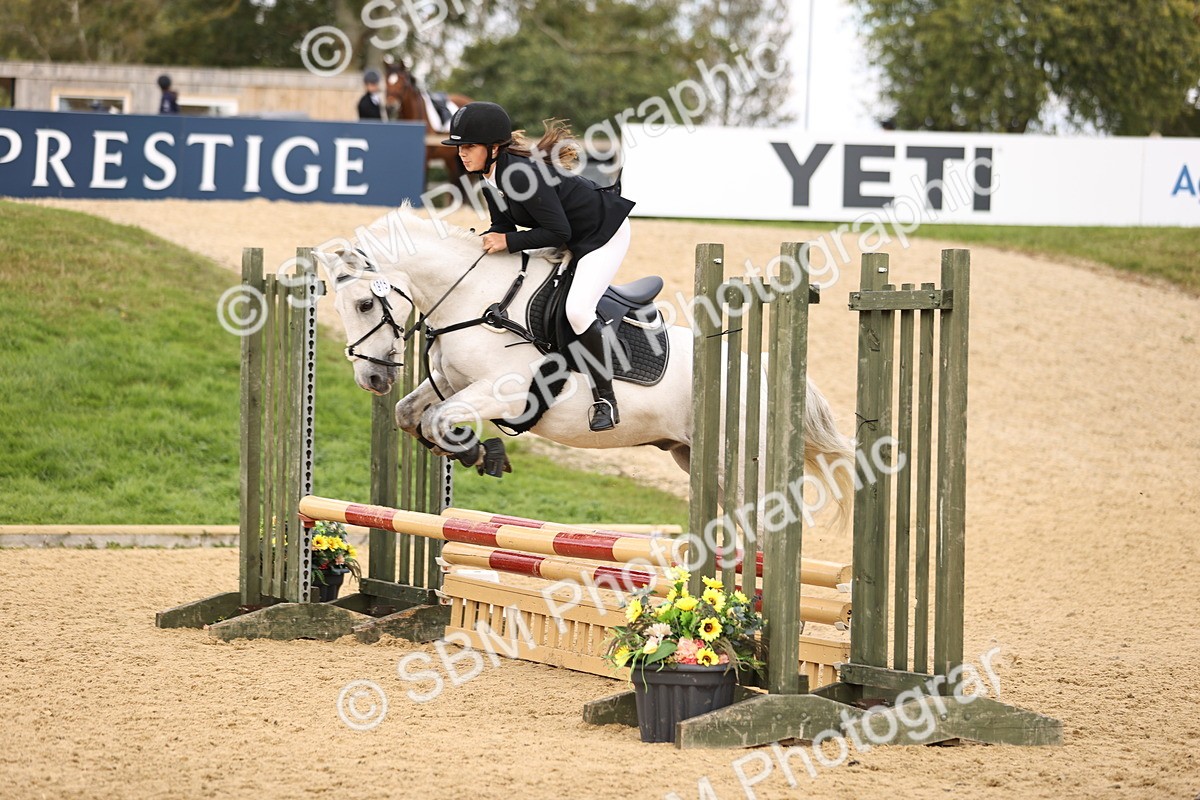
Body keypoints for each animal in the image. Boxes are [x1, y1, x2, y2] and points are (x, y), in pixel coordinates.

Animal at [317, 207, 855, 521]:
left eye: (363, 303)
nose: (371, 377)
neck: (476, 297)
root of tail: (766, 375)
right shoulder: (452, 384)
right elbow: (413, 415)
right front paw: (473, 452)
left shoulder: (504, 389)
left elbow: (438, 419)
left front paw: (484, 454)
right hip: (696, 458)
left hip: (737, 465)